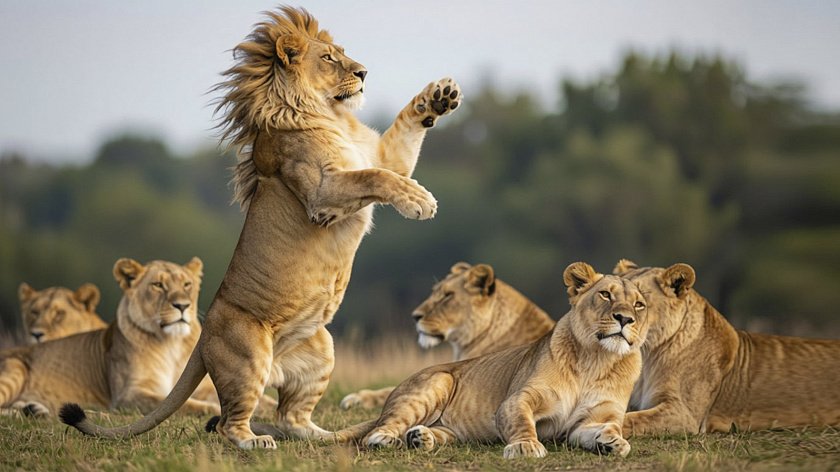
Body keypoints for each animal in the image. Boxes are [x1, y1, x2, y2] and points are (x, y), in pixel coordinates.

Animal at [0, 258, 220, 417]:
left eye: (187, 284)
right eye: (158, 285)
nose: (183, 305)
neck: (173, 343)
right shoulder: (128, 395)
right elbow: (186, 404)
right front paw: (213, 409)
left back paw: (34, 410)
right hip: (15, 368)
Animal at [60, 6, 459, 449]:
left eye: (342, 53)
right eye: (329, 58)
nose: (364, 73)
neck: (331, 114)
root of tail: (202, 336)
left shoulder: (382, 156)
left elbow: (400, 138)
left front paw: (438, 98)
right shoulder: (321, 195)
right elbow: (377, 176)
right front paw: (420, 202)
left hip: (322, 350)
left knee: (290, 417)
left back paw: (326, 436)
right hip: (250, 356)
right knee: (230, 421)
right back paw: (255, 441)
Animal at [614, 260, 840, 435]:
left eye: (639, 302)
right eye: (610, 295)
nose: (620, 318)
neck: (648, 356)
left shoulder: (686, 415)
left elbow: (630, 419)